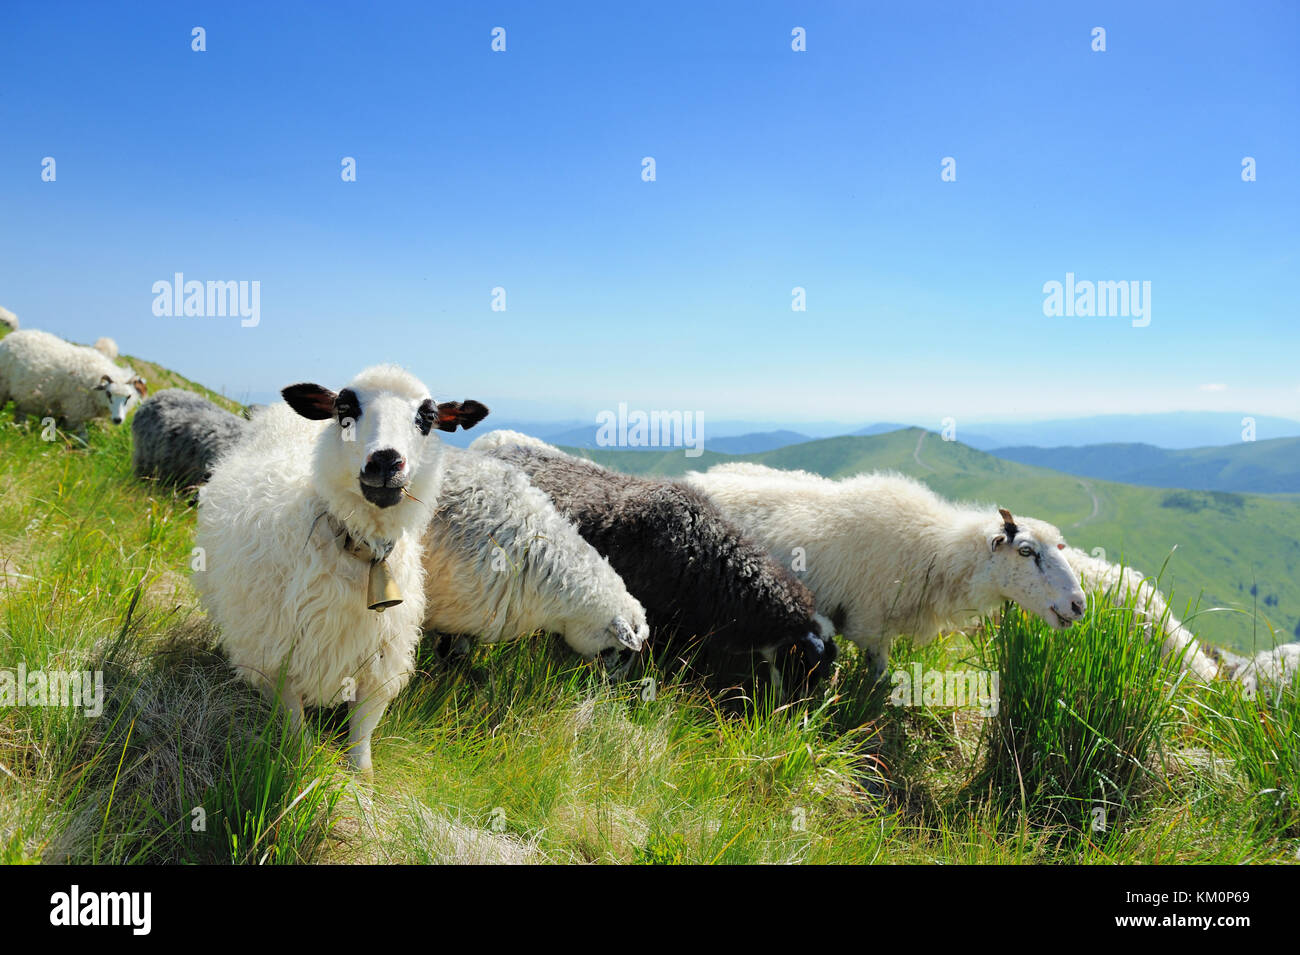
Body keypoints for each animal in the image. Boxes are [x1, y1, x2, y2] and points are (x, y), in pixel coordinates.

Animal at [0, 328, 147, 430]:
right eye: (108, 394)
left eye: (128, 397)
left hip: (22, 397)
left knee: (20, 414)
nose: (118, 420)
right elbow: (82, 439)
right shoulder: (74, 413)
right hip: (3, 389)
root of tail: (9, 337)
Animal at [195, 364, 488, 772]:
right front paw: (302, 760)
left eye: (427, 418)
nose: (385, 461)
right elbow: (294, 719)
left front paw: (361, 775)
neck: (358, 547)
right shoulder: (276, 652)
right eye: (345, 409)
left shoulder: (382, 660)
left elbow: (363, 728)